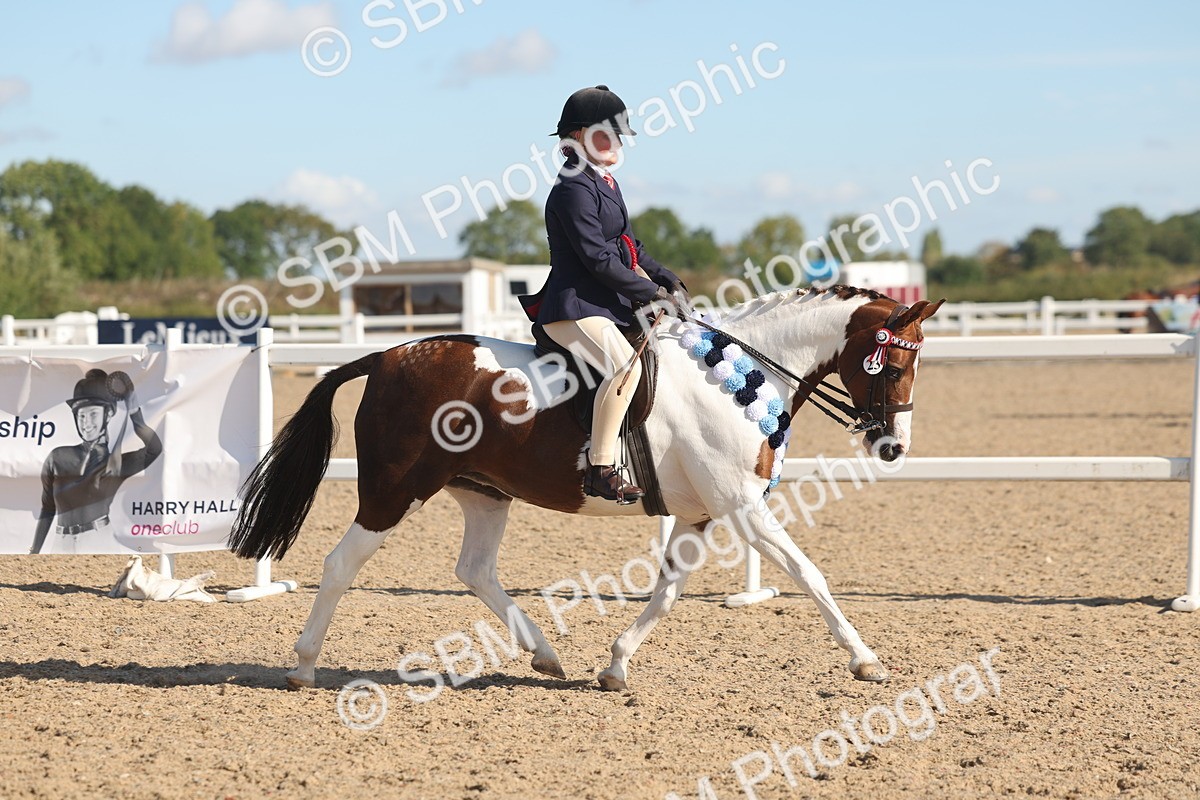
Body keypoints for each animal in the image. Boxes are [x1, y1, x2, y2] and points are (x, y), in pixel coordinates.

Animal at [229, 285, 943, 692]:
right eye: (894, 364)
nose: (893, 448)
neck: (738, 376)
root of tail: (386, 356)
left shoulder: (701, 514)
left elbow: (668, 591)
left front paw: (616, 666)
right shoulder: (741, 507)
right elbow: (809, 574)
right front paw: (866, 660)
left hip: (483, 491)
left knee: (474, 569)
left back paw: (545, 656)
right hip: (394, 491)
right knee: (341, 562)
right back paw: (302, 666)